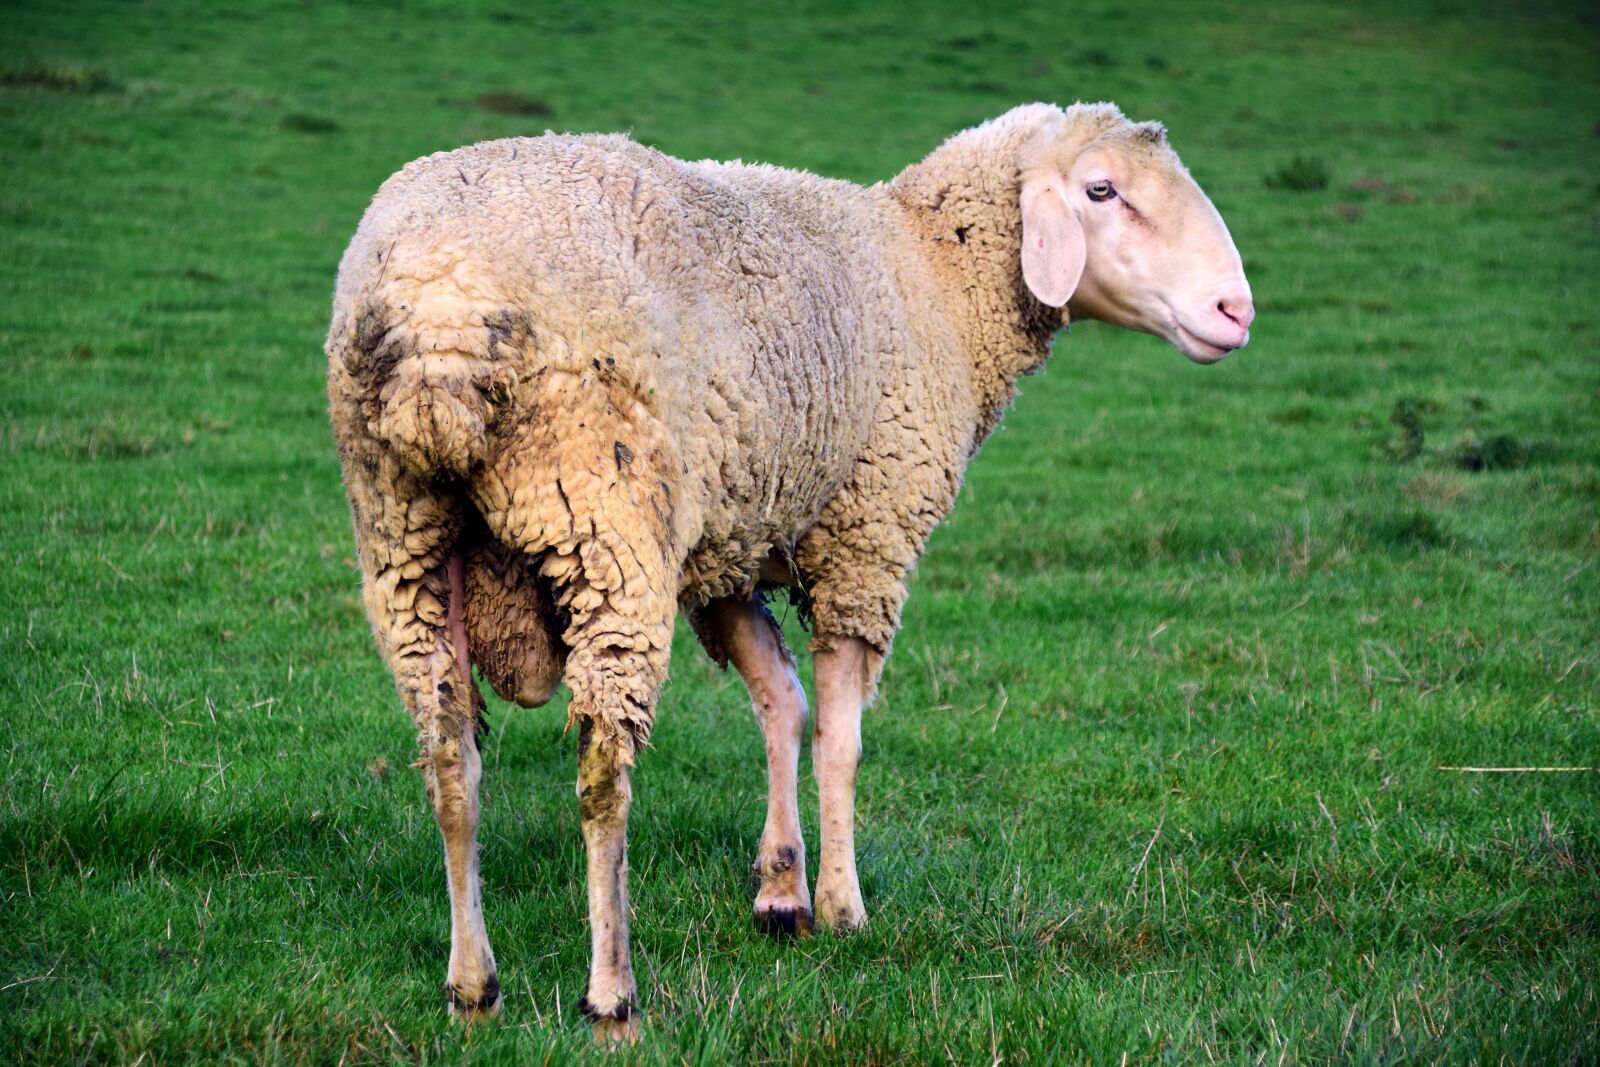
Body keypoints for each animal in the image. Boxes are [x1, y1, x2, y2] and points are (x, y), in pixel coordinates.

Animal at [325, 100, 1253, 1040]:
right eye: (1101, 190)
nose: (1236, 309)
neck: (933, 274)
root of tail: (440, 308)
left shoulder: (728, 546)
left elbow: (782, 701)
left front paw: (781, 890)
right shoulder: (865, 538)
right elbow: (840, 735)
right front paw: (843, 906)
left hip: (404, 535)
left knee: (450, 760)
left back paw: (472, 986)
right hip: (607, 519)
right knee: (601, 772)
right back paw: (613, 994)